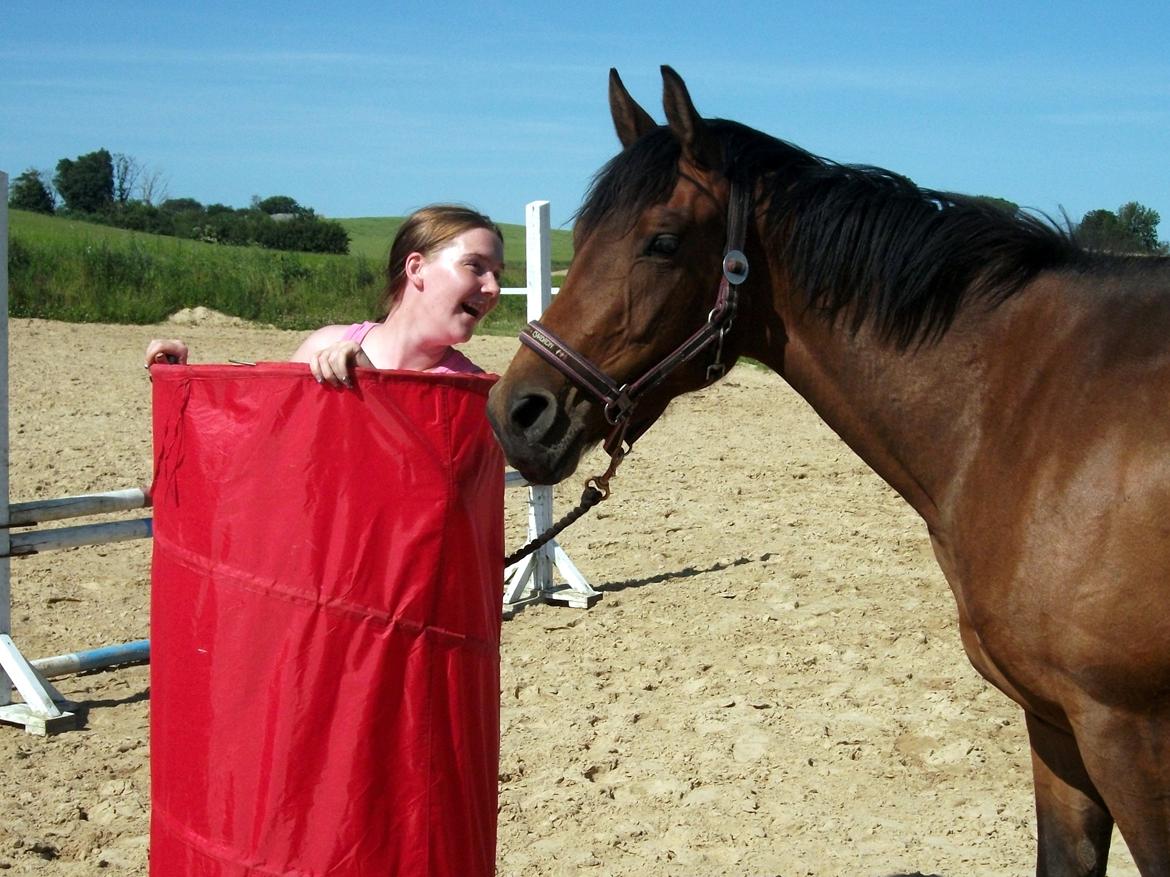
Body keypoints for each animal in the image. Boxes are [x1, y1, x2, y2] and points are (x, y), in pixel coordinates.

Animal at [489, 65, 1170, 874]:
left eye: (662, 241)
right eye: (582, 236)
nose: (517, 413)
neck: (1028, 405)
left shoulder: (1128, 735)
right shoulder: (1057, 725)